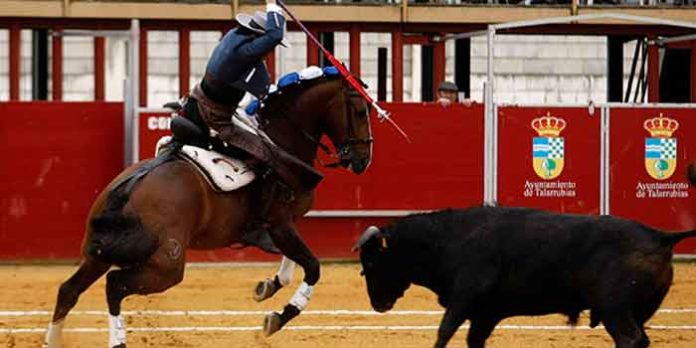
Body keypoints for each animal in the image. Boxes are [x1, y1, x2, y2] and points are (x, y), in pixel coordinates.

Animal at [44, 75, 376, 346]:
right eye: (361, 111)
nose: (364, 160)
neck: (281, 138)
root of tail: (129, 190)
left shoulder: (285, 225)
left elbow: (295, 260)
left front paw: (269, 285)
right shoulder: (280, 223)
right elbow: (313, 266)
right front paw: (278, 316)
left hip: (98, 256)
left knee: (68, 290)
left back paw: (53, 341)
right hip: (166, 267)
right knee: (114, 286)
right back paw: (117, 341)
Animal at [356, 207, 696, 348]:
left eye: (371, 262)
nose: (377, 304)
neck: (450, 239)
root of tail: (660, 235)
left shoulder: (464, 298)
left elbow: (443, 333)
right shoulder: (485, 314)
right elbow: (472, 340)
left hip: (614, 309)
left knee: (629, 340)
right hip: (637, 312)